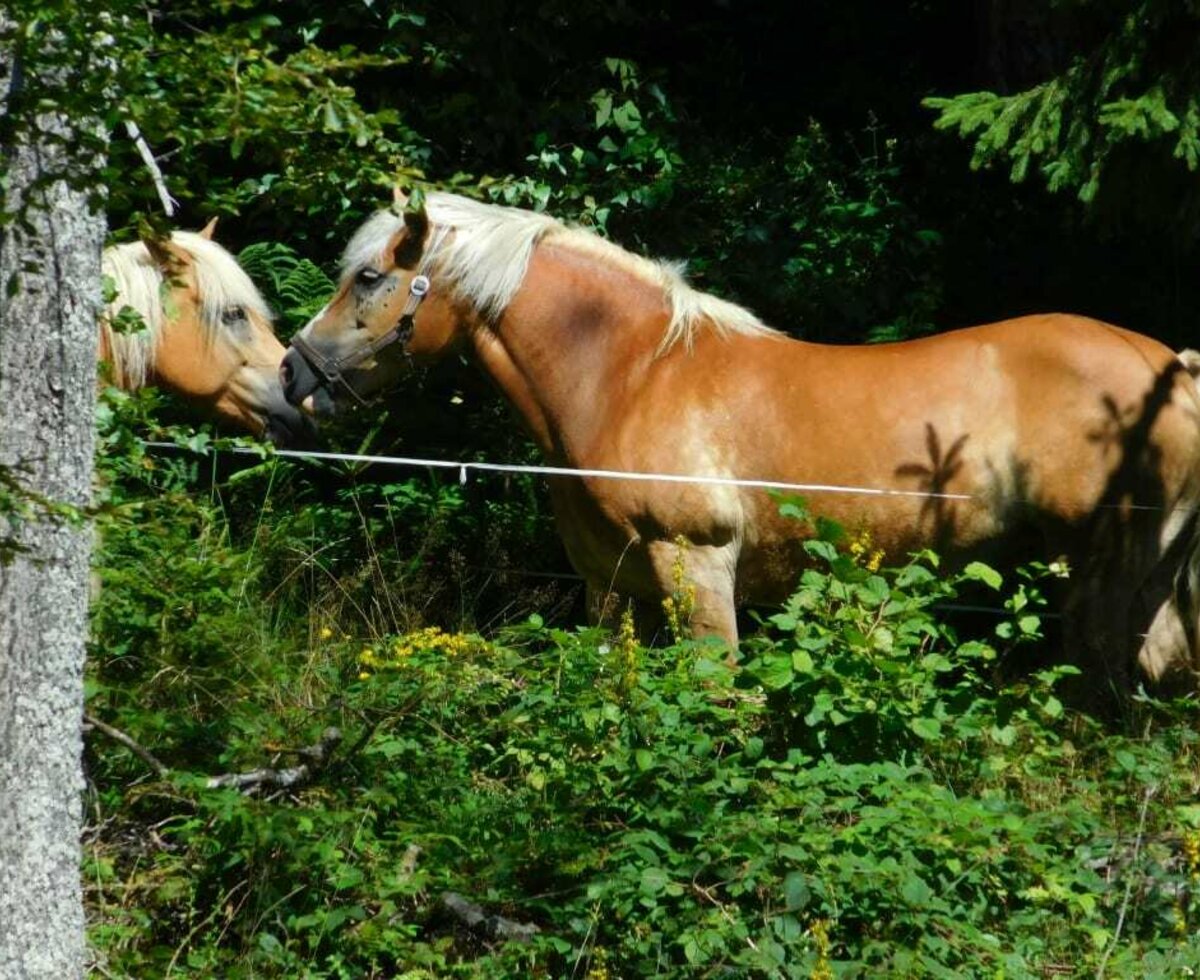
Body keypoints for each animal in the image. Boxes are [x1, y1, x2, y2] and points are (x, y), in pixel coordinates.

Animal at [278, 193, 1200, 695]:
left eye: (368, 278)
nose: (292, 375)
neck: (631, 375)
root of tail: (1171, 367)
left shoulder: (697, 565)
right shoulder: (612, 587)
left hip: (1101, 579)